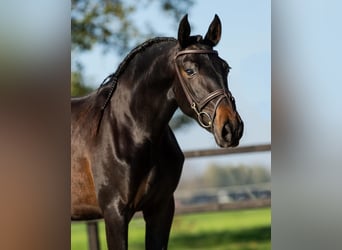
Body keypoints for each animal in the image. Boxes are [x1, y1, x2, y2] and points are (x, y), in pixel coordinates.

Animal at [71, 14, 243, 250]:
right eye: (190, 70)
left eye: (225, 68)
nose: (231, 128)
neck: (130, 130)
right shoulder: (115, 213)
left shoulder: (161, 209)